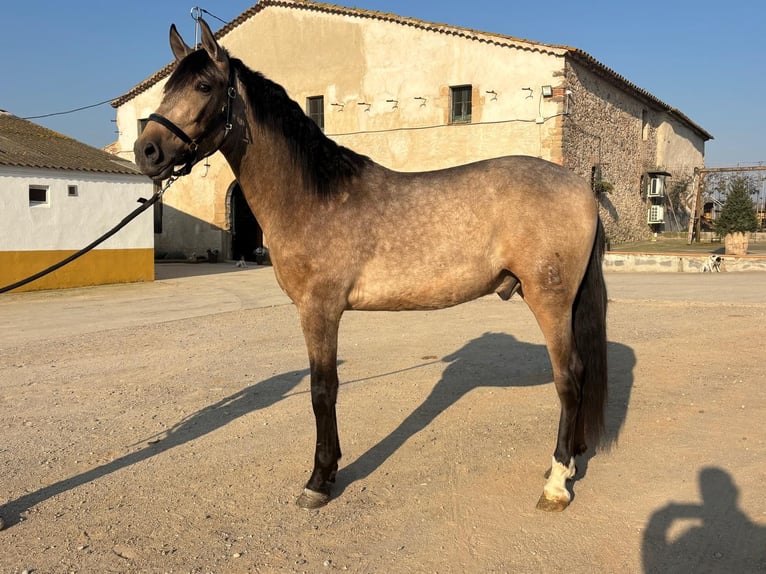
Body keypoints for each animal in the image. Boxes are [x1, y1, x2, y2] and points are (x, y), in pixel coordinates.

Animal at [133, 19, 608, 512]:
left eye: (204, 86)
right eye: (167, 88)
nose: (146, 151)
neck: (314, 196)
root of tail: (581, 187)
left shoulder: (319, 310)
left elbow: (323, 391)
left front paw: (319, 480)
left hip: (549, 300)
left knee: (569, 377)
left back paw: (557, 483)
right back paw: (572, 460)